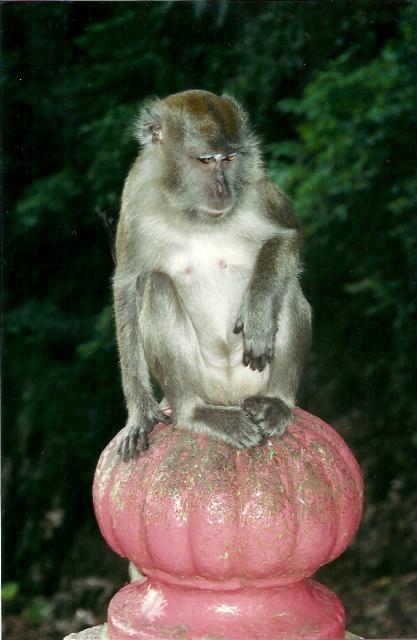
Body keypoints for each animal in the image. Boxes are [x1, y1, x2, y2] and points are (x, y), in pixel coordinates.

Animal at [113, 90, 312, 461]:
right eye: (206, 161)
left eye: (229, 159)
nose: (223, 190)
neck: (194, 213)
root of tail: (229, 396)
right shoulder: (135, 197)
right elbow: (128, 286)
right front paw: (140, 415)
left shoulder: (255, 184)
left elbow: (286, 236)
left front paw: (258, 312)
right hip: (204, 383)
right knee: (157, 286)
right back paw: (196, 413)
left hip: (252, 382)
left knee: (288, 286)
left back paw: (277, 402)